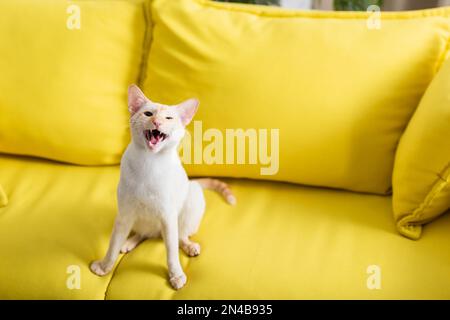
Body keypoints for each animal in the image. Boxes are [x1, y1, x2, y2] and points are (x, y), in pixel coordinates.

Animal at [89, 85, 236, 290]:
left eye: (168, 118)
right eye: (148, 114)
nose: (156, 122)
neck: (148, 162)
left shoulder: (168, 216)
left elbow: (172, 252)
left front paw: (176, 276)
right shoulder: (125, 213)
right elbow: (112, 246)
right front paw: (104, 267)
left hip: (192, 198)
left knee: (180, 235)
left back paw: (189, 246)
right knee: (144, 233)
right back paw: (128, 242)